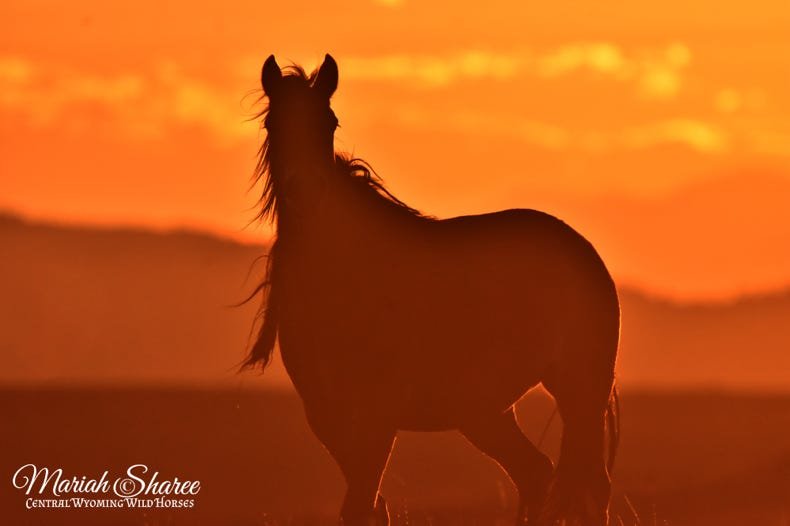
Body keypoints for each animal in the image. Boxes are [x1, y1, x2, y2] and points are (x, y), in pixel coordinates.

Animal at [241, 54, 620, 526]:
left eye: (330, 121)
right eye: (273, 123)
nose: (306, 192)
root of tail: (583, 250)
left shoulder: (377, 418)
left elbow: (362, 503)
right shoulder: (328, 418)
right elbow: (366, 506)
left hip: (579, 388)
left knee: (590, 487)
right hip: (485, 411)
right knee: (537, 474)